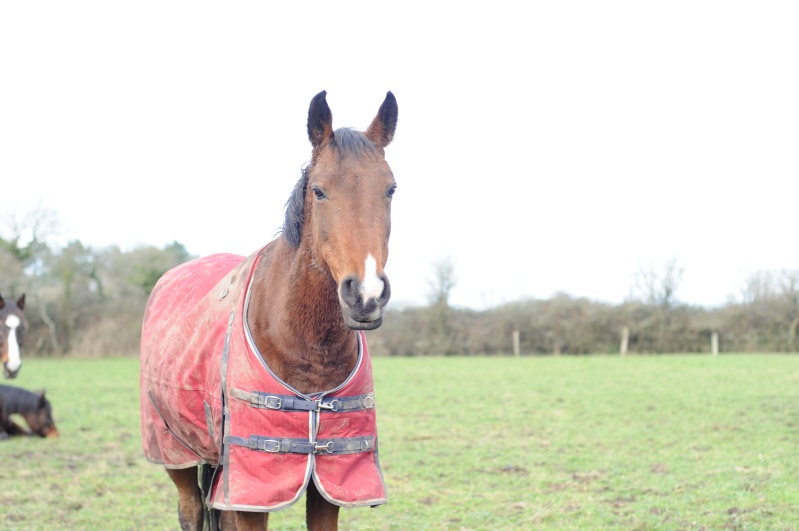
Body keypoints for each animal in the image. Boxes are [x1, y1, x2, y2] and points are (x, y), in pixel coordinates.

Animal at [142, 91, 400, 531]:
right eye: (319, 191)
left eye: (391, 189)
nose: (366, 295)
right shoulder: (252, 488)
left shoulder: (329, 482)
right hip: (175, 451)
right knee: (190, 510)